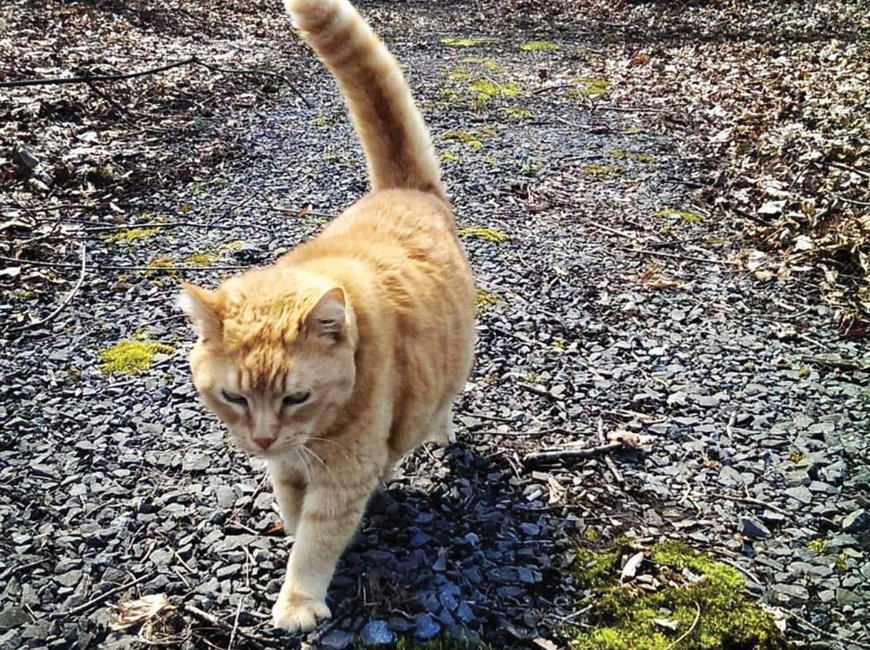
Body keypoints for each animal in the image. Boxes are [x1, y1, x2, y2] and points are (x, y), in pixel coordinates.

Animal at [178, 0, 476, 632]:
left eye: (297, 396)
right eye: (234, 397)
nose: (263, 438)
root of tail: (404, 190)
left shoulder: (341, 474)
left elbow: (316, 540)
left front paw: (298, 600)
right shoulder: (289, 468)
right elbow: (294, 511)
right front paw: (290, 530)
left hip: (452, 365)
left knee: (440, 403)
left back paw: (434, 435)